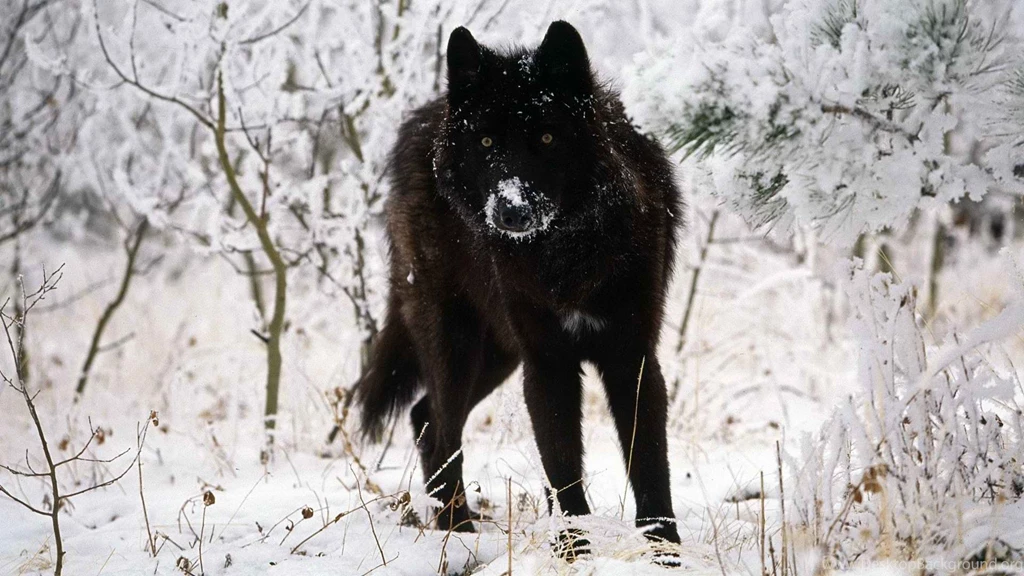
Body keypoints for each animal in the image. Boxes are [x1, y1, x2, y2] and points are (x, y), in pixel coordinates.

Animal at [355, 21, 682, 550]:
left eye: (547, 137)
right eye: (487, 143)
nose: (511, 211)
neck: (565, 254)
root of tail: (423, 119)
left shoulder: (631, 357)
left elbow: (649, 463)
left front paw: (665, 549)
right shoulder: (546, 363)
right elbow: (562, 467)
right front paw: (572, 547)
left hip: (498, 355)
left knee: (424, 417)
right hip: (457, 345)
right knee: (440, 428)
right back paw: (458, 532)